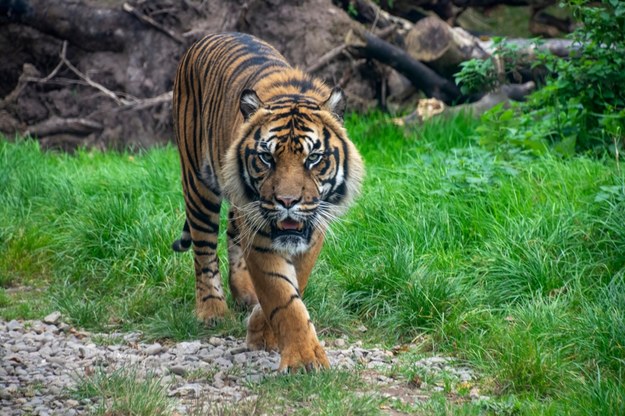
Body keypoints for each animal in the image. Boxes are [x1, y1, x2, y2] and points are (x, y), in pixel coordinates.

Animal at [172, 33, 366, 370]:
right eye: (266, 157)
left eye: (313, 158)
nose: (287, 201)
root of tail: (207, 37)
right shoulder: (262, 235)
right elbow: (282, 296)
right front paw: (304, 359)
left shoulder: (312, 230)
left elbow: (294, 284)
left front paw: (262, 330)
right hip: (198, 183)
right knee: (204, 249)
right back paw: (212, 311)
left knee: (232, 234)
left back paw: (245, 293)